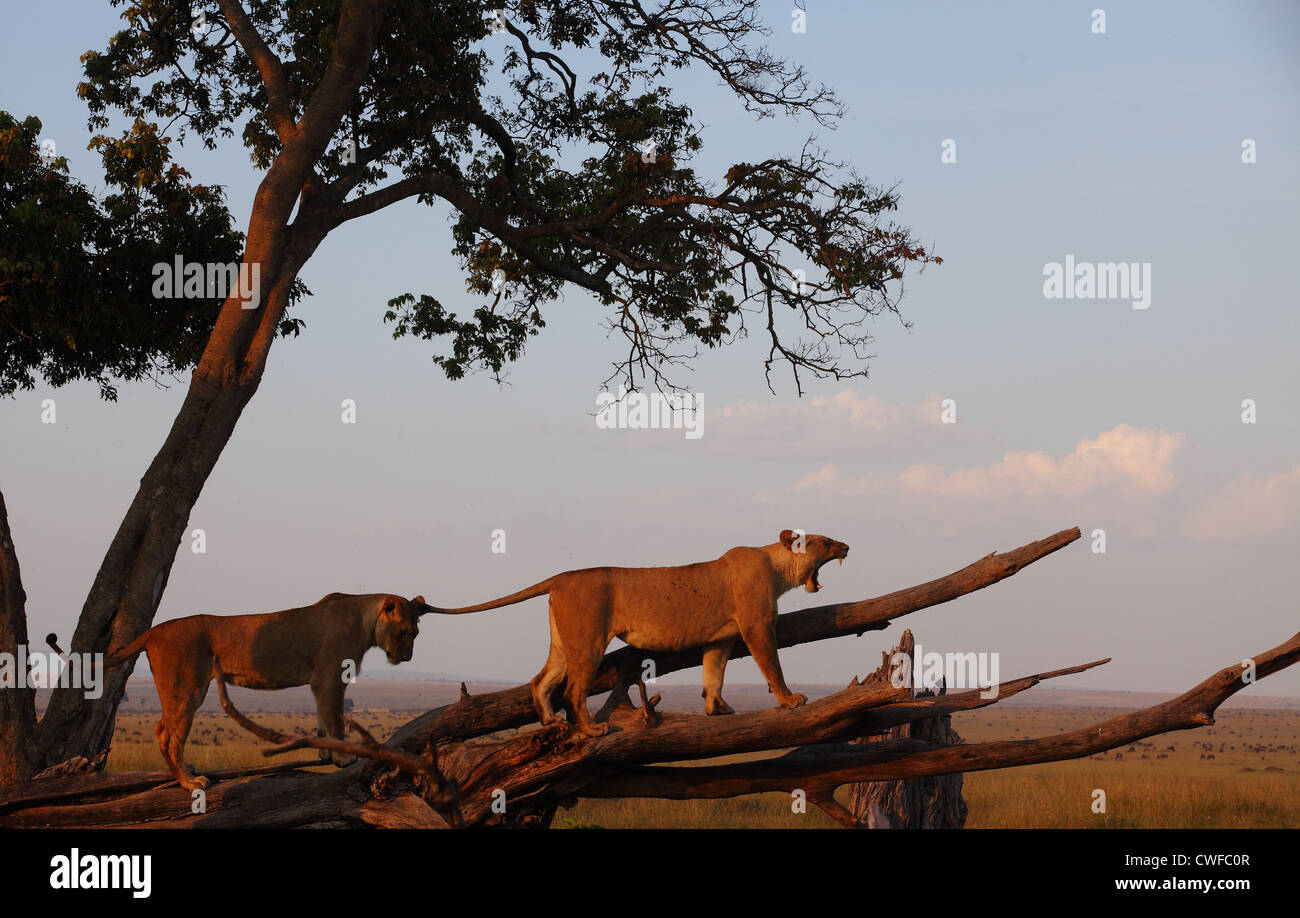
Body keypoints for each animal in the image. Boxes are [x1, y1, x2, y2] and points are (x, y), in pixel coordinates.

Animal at [79, 592, 424, 790]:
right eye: (406, 632)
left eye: (416, 633)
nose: (408, 657)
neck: (365, 619)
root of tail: (156, 629)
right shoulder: (330, 676)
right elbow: (336, 720)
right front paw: (342, 758)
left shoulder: (320, 681)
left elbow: (324, 718)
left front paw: (326, 754)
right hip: (187, 688)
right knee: (167, 735)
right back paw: (189, 782)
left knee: (163, 729)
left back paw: (186, 772)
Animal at [422, 531, 849, 736]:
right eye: (825, 541)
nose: (847, 546)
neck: (777, 568)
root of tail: (563, 577)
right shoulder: (757, 625)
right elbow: (771, 666)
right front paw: (791, 700)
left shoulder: (719, 638)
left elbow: (714, 673)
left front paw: (718, 708)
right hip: (589, 639)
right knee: (573, 689)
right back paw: (592, 730)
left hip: (563, 641)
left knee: (540, 679)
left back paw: (549, 722)